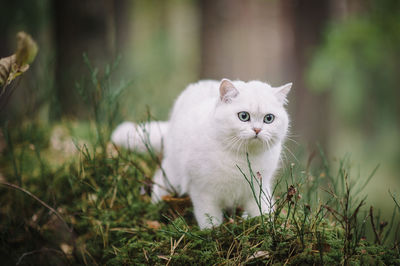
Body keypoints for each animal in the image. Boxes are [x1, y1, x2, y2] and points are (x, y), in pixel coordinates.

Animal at [111, 79, 292, 229]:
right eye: (243, 116)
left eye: (269, 119)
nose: (257, 130)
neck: (242, 157)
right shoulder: (203, 191)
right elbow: (209, 219)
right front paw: (213, 233)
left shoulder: (259, 187)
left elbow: (262, 210)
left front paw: (268, 227)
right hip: (173, 173)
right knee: (160, 179)